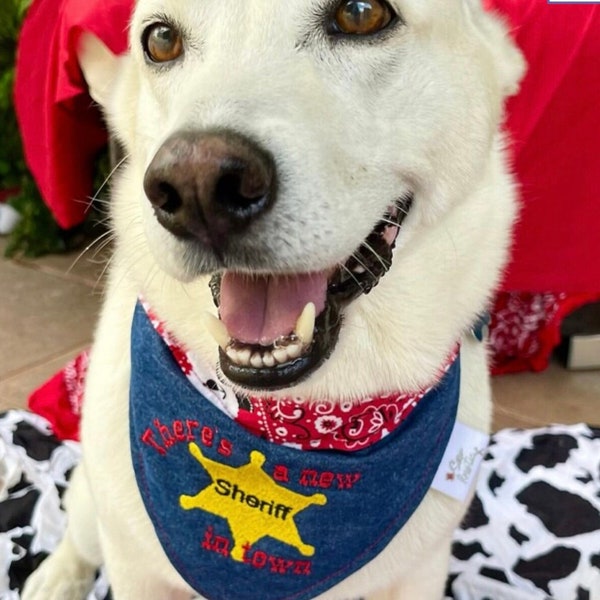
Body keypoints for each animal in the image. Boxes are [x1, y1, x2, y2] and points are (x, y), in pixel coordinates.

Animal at [22, 2, 520, 596]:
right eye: (160, 39)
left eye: (361, 14)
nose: (197, 187)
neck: (303, 418)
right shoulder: (135, 564)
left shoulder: (419, 571)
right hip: (100, 505)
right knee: (80, 523)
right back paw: (57, 575)